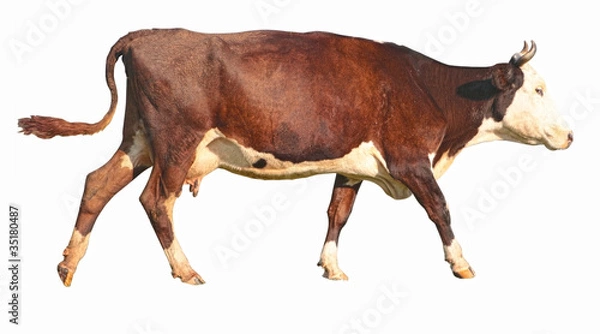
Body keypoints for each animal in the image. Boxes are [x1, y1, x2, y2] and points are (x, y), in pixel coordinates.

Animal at [17, 28, 572, 286]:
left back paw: (68, 264)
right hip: (175, 141)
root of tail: (145, 34)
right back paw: (186, 270)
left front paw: (331, 266)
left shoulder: (353, 165)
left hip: (140, 139)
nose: (569, 135)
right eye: (538, 89)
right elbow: (440, 209)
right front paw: (461, 264)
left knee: (97, 183)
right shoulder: (411, 159)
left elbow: (337, 214)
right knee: (155, 201)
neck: (432, 90)